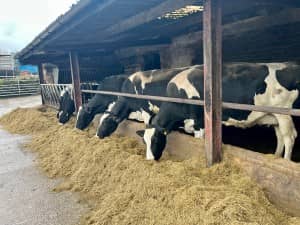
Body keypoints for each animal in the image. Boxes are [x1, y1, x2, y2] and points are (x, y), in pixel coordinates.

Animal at [141, 62, 300, 162]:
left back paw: (285, 161)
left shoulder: (200, 123)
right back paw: (276, 157)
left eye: (155, 140)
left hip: (284, 114)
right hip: (275, 116)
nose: (149, 160)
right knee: (280, 137)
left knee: (289, 138)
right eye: (144, 141)